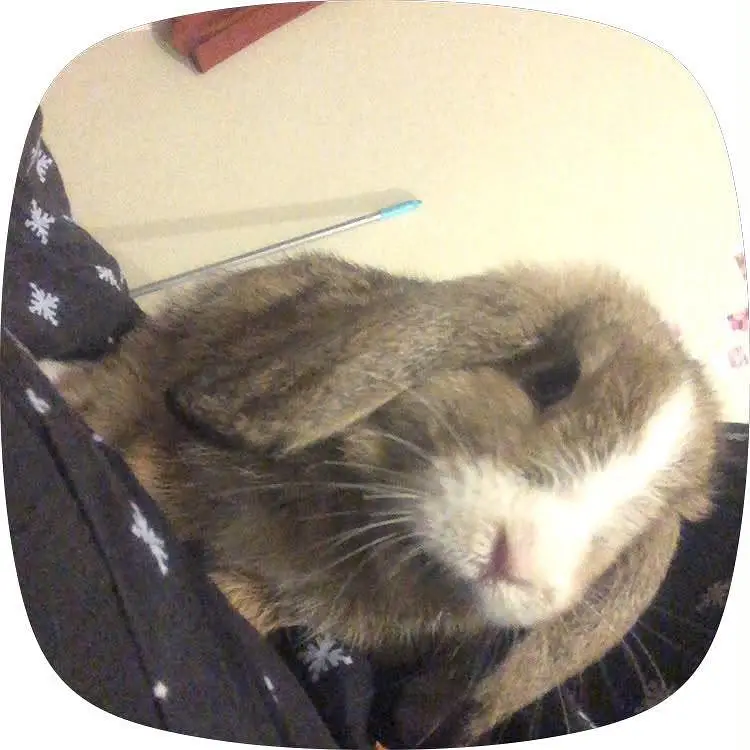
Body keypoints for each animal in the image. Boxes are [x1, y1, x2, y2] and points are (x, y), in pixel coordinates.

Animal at [41, 252, 721, 745]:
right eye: (552, 380)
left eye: (644, 523)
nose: (521, 562)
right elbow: (133, 444)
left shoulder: (281, 593)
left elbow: (240, 601)